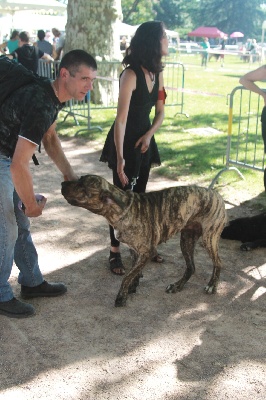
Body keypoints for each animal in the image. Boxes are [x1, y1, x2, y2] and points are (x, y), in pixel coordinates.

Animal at [61, 174, 227, 306]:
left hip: (208, 239)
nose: (62, 184)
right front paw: (132, 287)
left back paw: (212, 285)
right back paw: (177, 286)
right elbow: (134, 273)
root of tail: (217, 194)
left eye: (82, 185)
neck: (122, 209)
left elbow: (127, 276)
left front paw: (121, 297)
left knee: (218, 263)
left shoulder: (147, 252)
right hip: (186, 239)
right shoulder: (135, 250)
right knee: (191, 267)